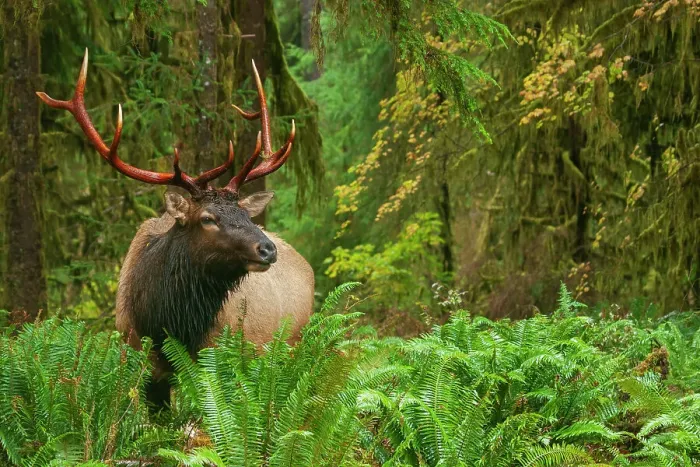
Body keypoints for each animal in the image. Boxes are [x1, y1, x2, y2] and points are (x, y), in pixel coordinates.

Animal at [37, 50, 315, 406]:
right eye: (207, 218)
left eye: (246, 214)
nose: (267, 248)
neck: (166, 322)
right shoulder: (139, 359)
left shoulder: (217, 359)